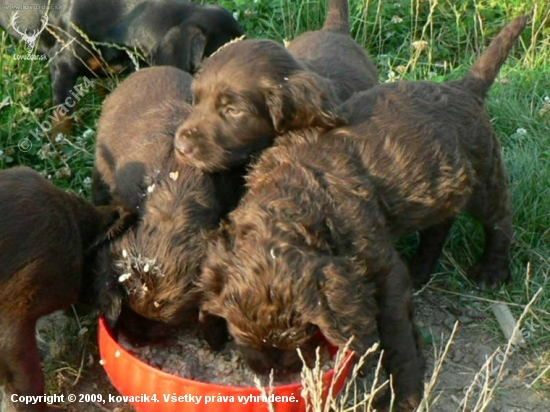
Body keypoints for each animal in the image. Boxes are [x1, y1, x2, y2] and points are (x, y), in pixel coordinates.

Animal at [201, 15, 528, 408]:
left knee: (500, 220)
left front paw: (404, 396)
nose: (273, 372)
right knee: (441, 222)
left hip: (485, 174)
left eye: (299, 337)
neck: (298, 201)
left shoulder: (385, 274)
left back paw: (493, 271)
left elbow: (397, 339)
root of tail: (464, 87)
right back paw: (422, 268)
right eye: (240, 334)